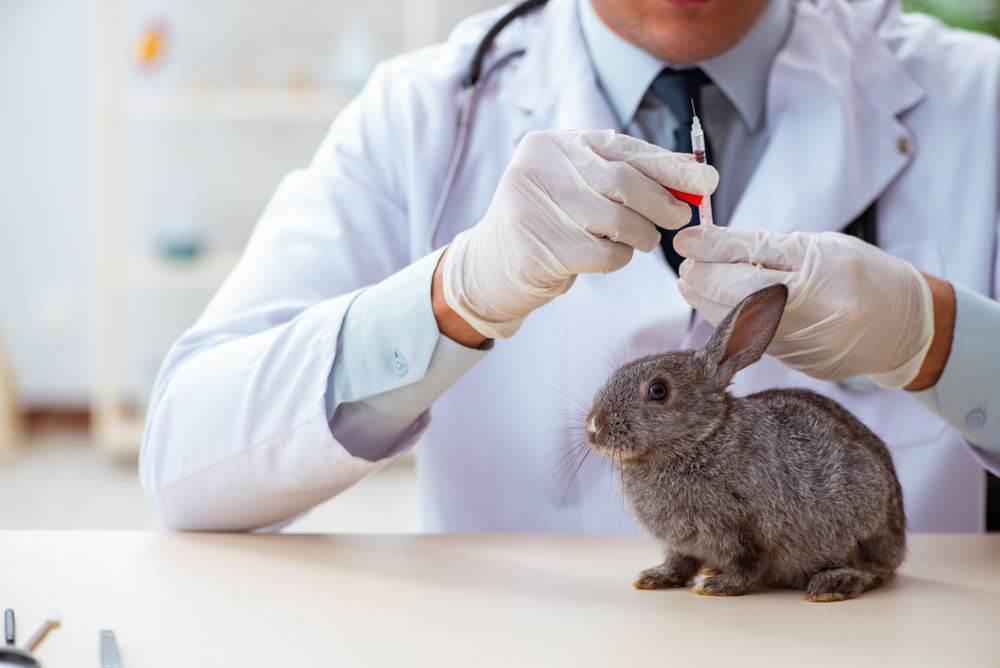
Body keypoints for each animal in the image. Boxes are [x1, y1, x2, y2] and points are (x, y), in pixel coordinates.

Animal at [584, 283, 905, 602]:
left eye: (658, 390)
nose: (594, 427)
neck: (701, 437)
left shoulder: (749, 529)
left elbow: (748, 563)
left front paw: (718, 587)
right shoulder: (682, 543)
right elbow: (680, 561)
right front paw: (656, 577)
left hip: (864, 522)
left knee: (873, 570)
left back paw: (831, 584)